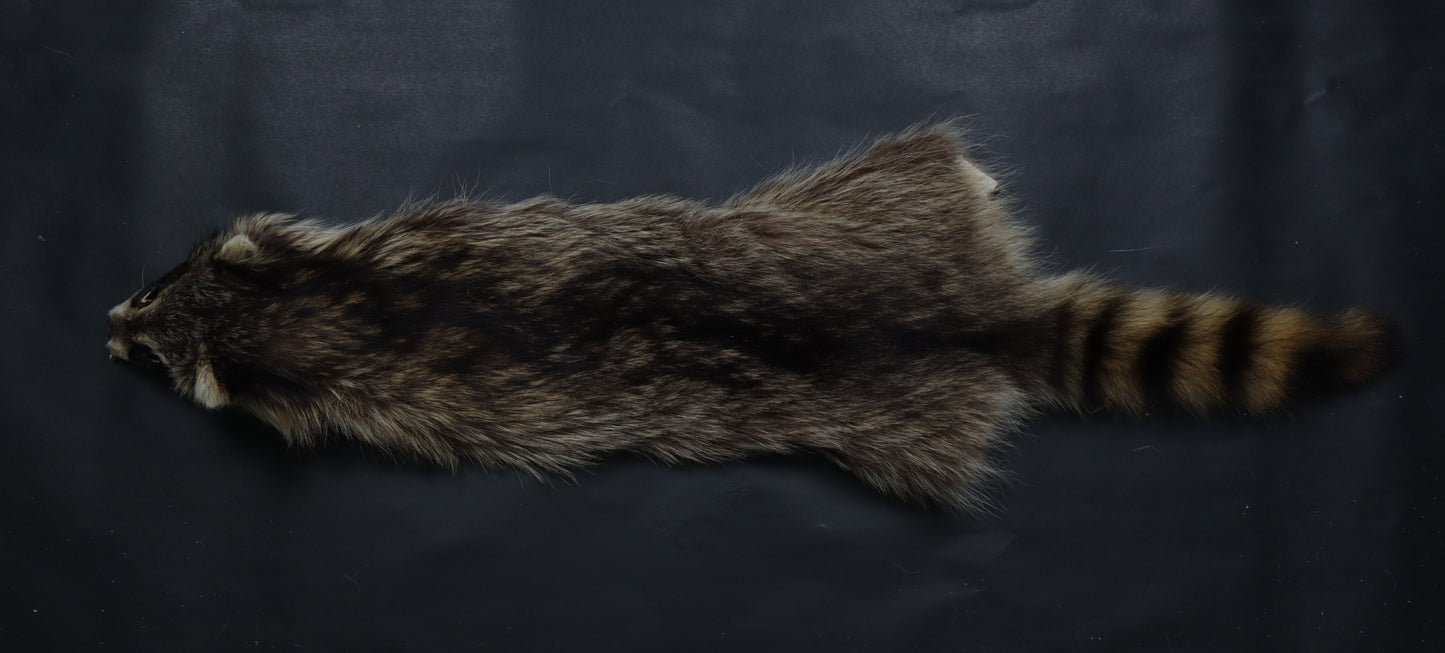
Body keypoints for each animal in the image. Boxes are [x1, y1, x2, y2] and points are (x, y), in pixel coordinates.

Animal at [105, 124, 1398, 510]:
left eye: (151, 326)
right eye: (160, 283)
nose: (106, 320)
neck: (330, 303)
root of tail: (972, 316)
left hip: (880, 330)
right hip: (892, 212)